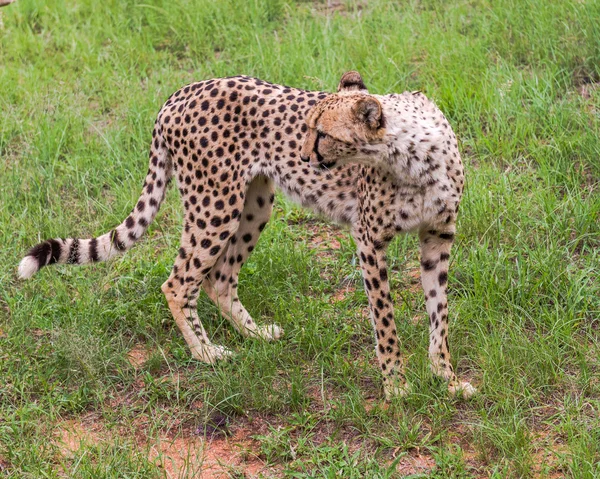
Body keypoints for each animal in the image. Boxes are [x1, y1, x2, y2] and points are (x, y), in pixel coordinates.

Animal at [18, 71, 476, 400]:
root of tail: (180, 92)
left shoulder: (438, 238)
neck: (414, 155)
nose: (304, 155)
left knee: (219, 279)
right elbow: (385, 322)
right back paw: (206, 353)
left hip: (255, 202)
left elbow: (439, 315)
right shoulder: (369, 242)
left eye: (323, 133)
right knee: (178, 283)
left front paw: (446, 379)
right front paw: (397, 387)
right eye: (306, 127)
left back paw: (254, 334)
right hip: (215, 206)